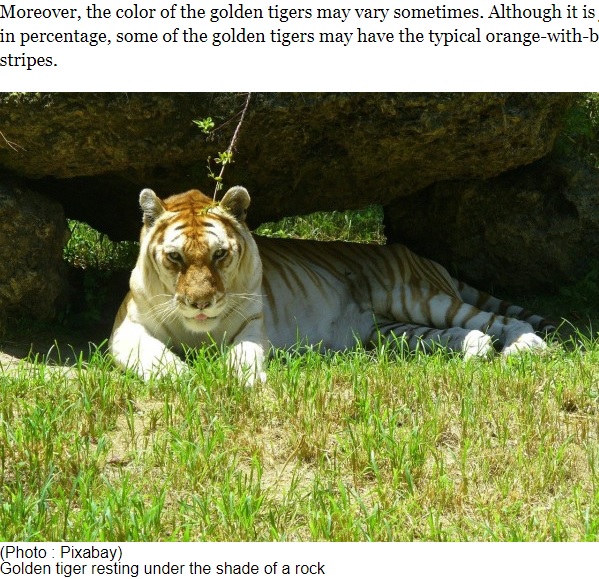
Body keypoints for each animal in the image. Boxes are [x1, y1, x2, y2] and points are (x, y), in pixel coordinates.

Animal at [109, 187, 552, 386]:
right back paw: (476, 350)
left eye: (219, 255)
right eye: (175, 258)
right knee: (460, 333)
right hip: (391, 330)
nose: (200, 303)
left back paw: (527, 347)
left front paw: (245, 381)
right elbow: (156, 359)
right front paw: (187, 380)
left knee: (496, 319)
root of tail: (422, 257)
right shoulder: (127, 329)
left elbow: (244, 356)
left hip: (418, 298)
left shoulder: (251, 327)